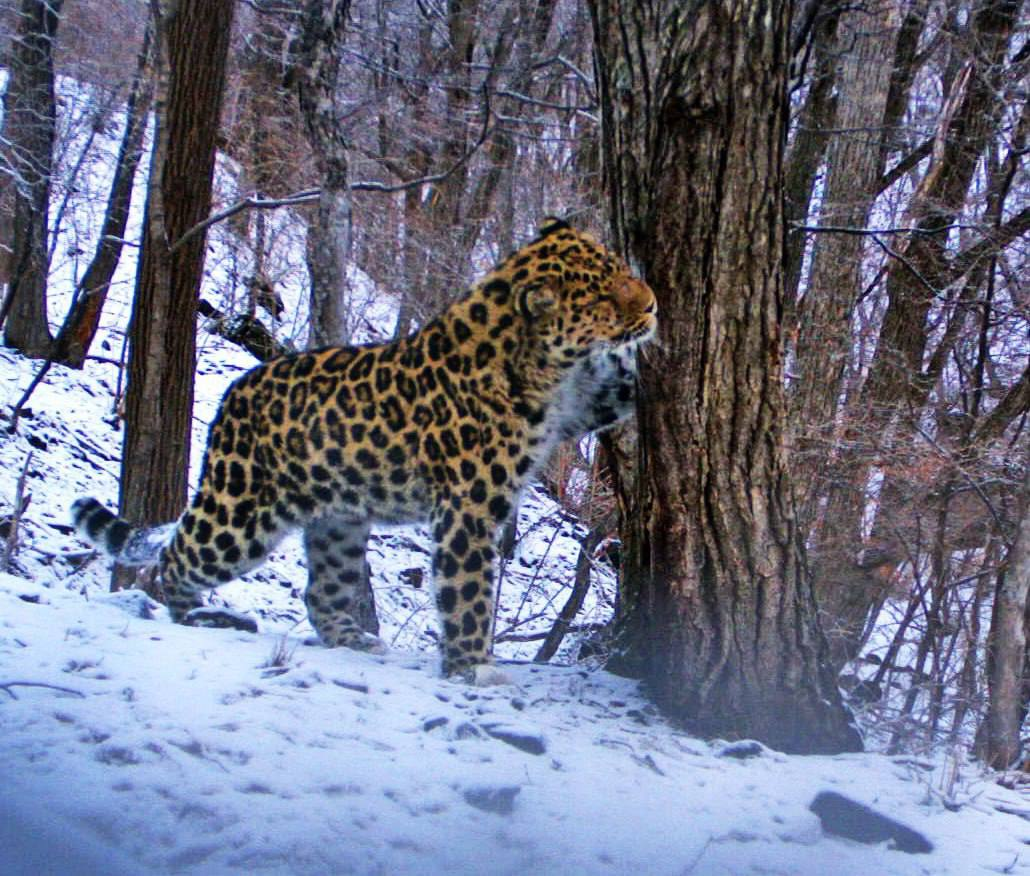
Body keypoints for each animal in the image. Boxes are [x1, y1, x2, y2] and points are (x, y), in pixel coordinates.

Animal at [72, 218, 655, 684]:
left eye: (621, 269)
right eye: (604, 298)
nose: (650, 303)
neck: (543, 363)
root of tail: (233, 395)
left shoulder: (581, 401)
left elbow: (621, 387)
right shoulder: (467, 507)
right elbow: (467, 590)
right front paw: (473, 666)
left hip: (337, 521)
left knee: (319, 591)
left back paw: (350, 637)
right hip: (239, 514)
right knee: (175, 559)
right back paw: (200, 615)